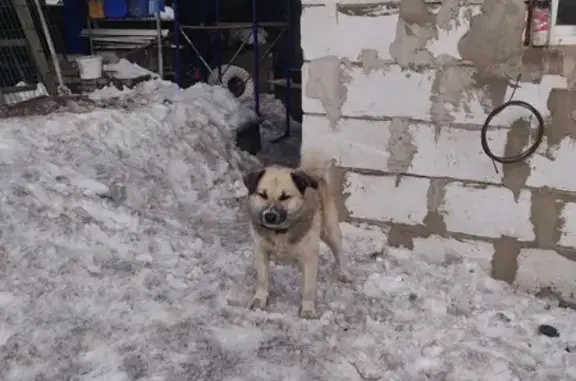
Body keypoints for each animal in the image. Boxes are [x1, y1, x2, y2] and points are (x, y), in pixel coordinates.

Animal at [243, 152, 352, 318]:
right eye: (262, 195)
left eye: (285, 197)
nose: (269, 216)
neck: (280, 232)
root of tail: (315, 175)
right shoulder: (261, 251)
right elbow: (262, 278)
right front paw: (260, 298)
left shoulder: (309, 258)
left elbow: (308, 288)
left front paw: (307, 309)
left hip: (330, 232)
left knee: (339, 253)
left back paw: (344, 273)